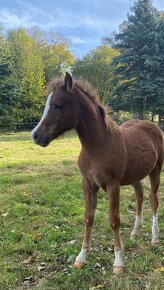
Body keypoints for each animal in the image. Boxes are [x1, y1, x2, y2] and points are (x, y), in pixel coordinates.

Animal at [31, 72, 163, 274]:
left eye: (58, 105)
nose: (36, 136)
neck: (99, 145)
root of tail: (152, 125)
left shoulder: (112, 185)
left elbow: (114, 220)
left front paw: (118, 262)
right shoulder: (88, 183)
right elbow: (88, 218)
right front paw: (81, 257)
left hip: (156, 170)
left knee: (153, 199)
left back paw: (155, 238)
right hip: (135, 174)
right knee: (139, 195)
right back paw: (135, 232)